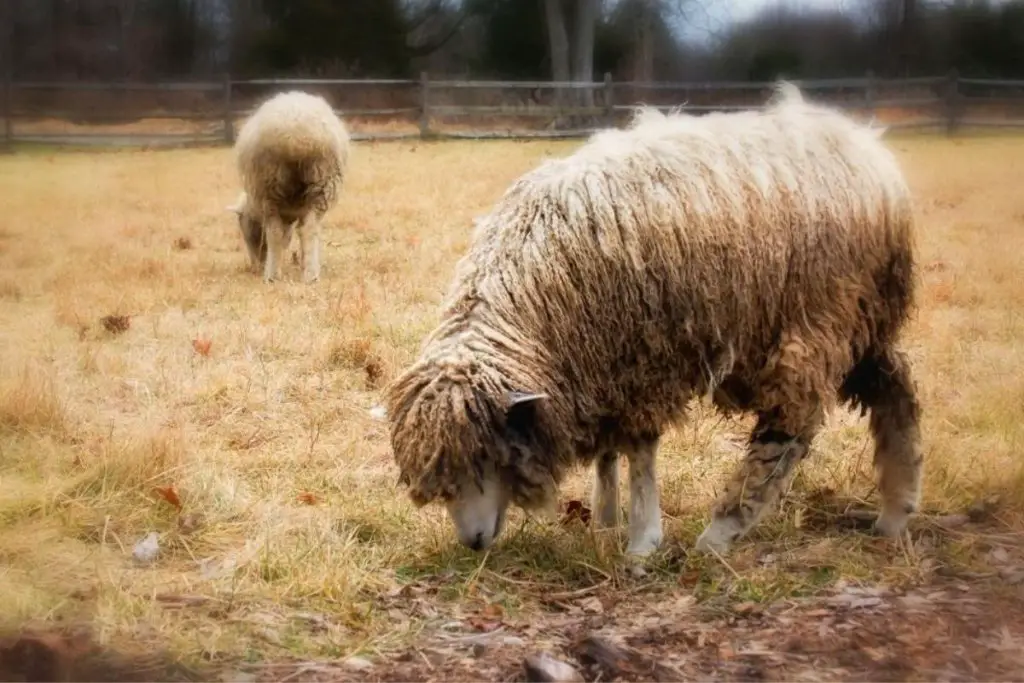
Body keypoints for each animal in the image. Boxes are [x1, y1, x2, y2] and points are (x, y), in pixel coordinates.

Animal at [226, 90, 350, 282]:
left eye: (246, 230)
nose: (256, 267)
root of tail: (295, 135)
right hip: (318, 184)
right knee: (305, 230)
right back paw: (305, 275)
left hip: (272, 188)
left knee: (280, 231)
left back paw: (277, 275)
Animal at [382, 82, 921, 565]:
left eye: (486, 457)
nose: (472, 544)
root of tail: (871, 152)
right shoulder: (599, 366)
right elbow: (607, 448)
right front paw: (604, 519)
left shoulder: (643, 362)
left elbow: (639, 448)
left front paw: (642, 540)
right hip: (863, 317)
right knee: (897, 390)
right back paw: (896, 511)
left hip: (818, 314)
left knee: (792, 425)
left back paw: (721, 532)